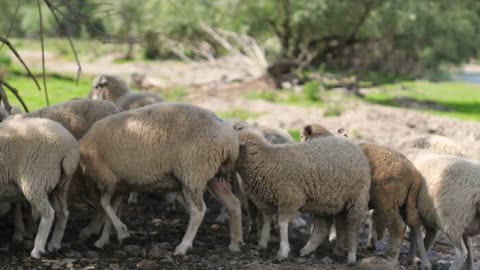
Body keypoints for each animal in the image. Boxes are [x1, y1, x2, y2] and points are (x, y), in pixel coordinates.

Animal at [0, 116, 79, 260]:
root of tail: (70, 149)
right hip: (60, 185)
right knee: (63, 213)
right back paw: (55, 244)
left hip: (35, 180)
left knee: (49, 213)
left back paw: (37, 249)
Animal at [79, 103, 244, 255]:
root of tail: (230, 140)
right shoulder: (120, 185)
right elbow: (111, 209)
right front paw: (103, 239)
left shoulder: (108, 178)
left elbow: (104, 204)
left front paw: (120, 232)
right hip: (212, 175)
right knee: (234, 203)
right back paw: (236, 243)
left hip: (192, 172)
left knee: (199, 211)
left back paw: (183, 246)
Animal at [302, 124, 430, 268]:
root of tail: (414, 175)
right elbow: (340, 226)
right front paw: (338, 249)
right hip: (407, 202)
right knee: (415, 225)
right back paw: (423, 262)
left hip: (387, 202)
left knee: (399, 227)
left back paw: (391, 258)